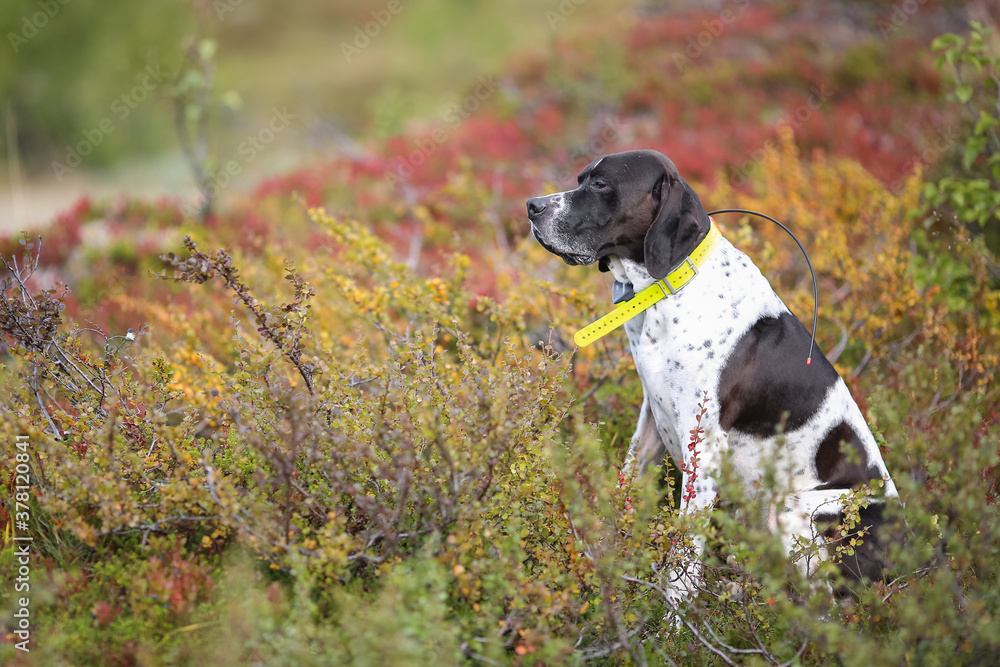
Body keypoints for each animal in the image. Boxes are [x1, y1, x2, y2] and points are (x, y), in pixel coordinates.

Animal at [532, 151, 900, 600]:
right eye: (581, 178)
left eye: (601, 184)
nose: (532, 207)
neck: (669, 289)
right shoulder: (652, 419)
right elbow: (626, 489)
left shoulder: (703, 450)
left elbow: (682, 566)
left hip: (795, 509)